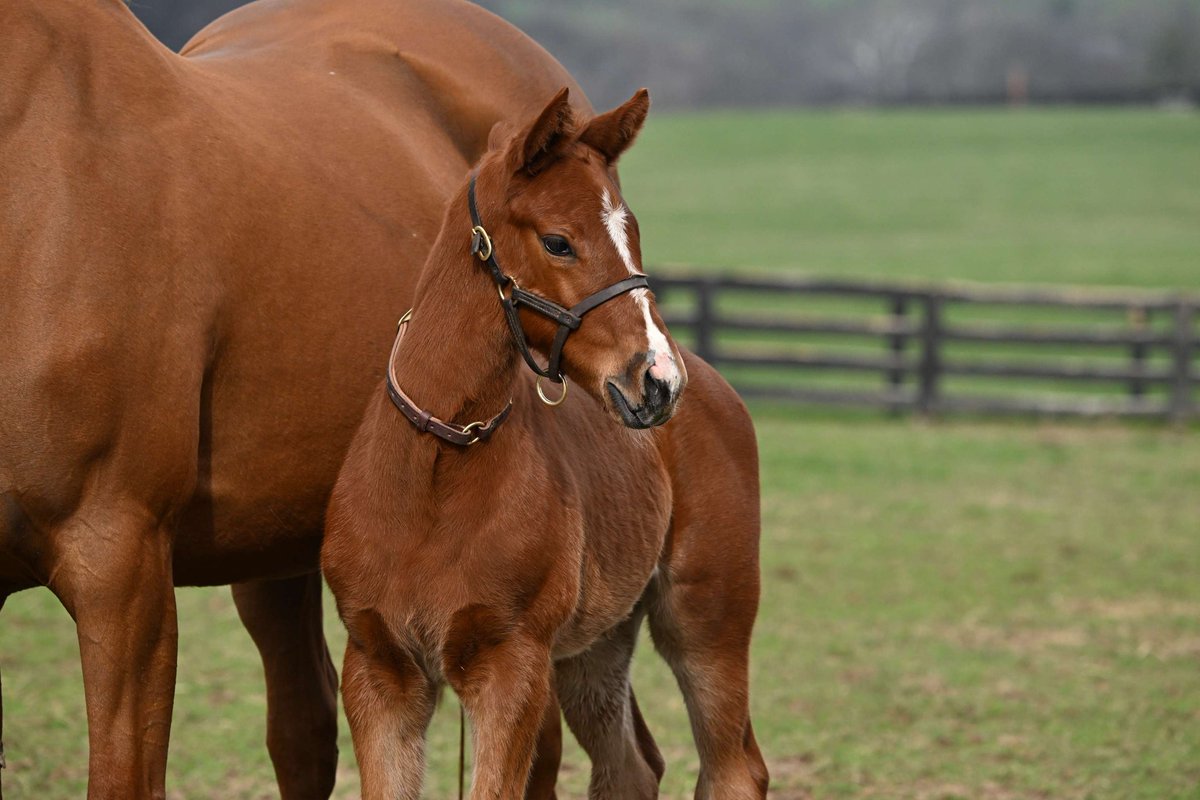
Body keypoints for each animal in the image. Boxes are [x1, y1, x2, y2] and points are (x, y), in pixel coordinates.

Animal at [321, 88, 769, 799]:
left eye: (633, 233)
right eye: (558, 241)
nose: (659, 380)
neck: (436, 466)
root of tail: (720, 388)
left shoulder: (511, 666)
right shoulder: (379, 668)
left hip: (706, 619)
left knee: (733, 768)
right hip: (598, 644)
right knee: (631, 766)